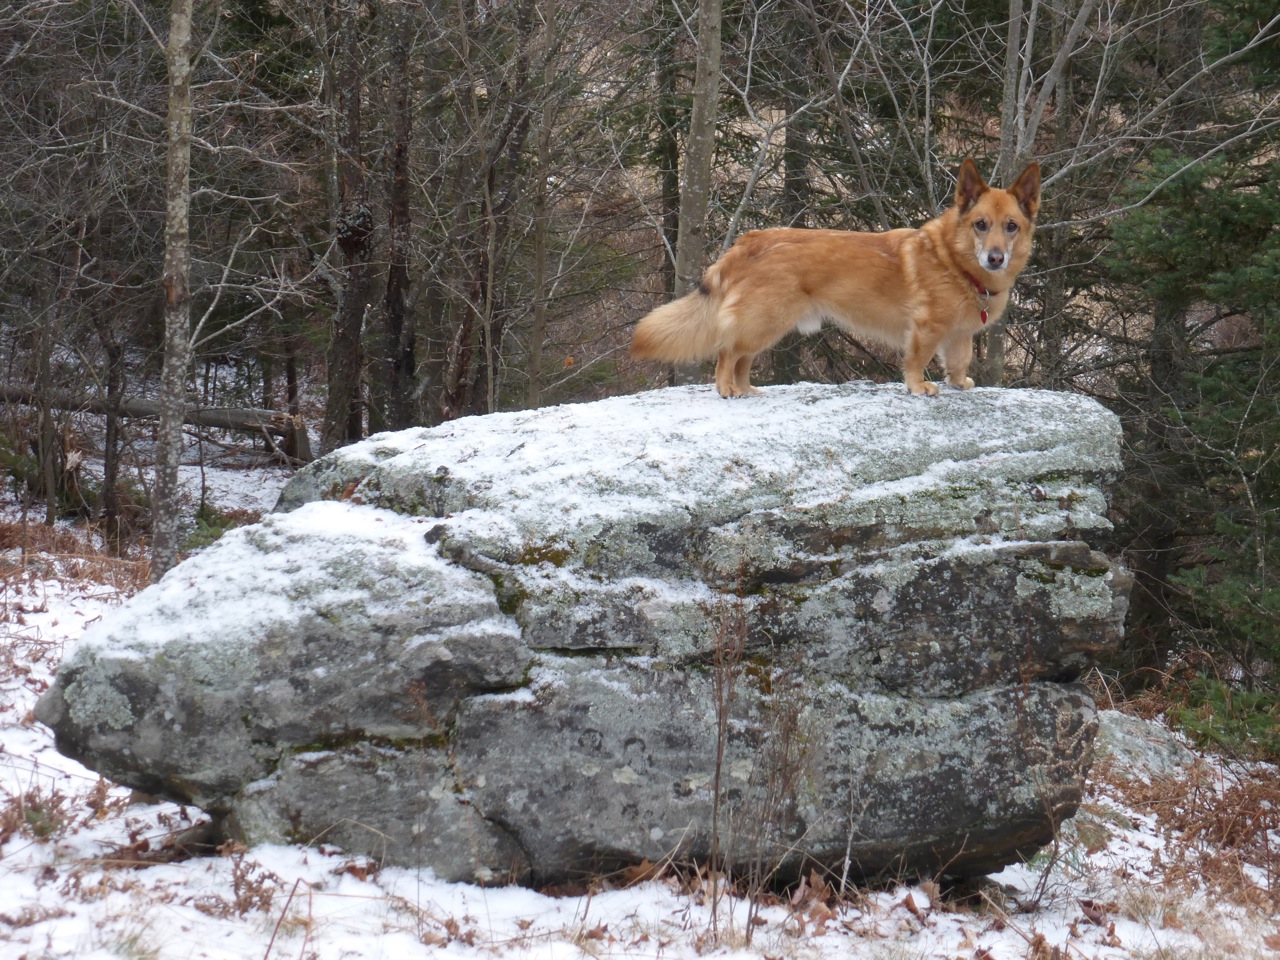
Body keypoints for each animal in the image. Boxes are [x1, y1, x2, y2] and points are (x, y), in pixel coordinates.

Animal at [629, 156, 1039, 394]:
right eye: (981, 224)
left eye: (1012, 226)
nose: (996, 258)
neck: (955, 262)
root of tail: (748, 242)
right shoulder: (926, 328)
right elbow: (917, 360)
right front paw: (918, 386)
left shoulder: (958, 336)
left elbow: (959, 360)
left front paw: (958, 382)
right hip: (764, 323)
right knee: (727, 352)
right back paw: (726, 389)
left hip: (767, 328)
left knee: (742, 359)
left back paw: (746, 391)